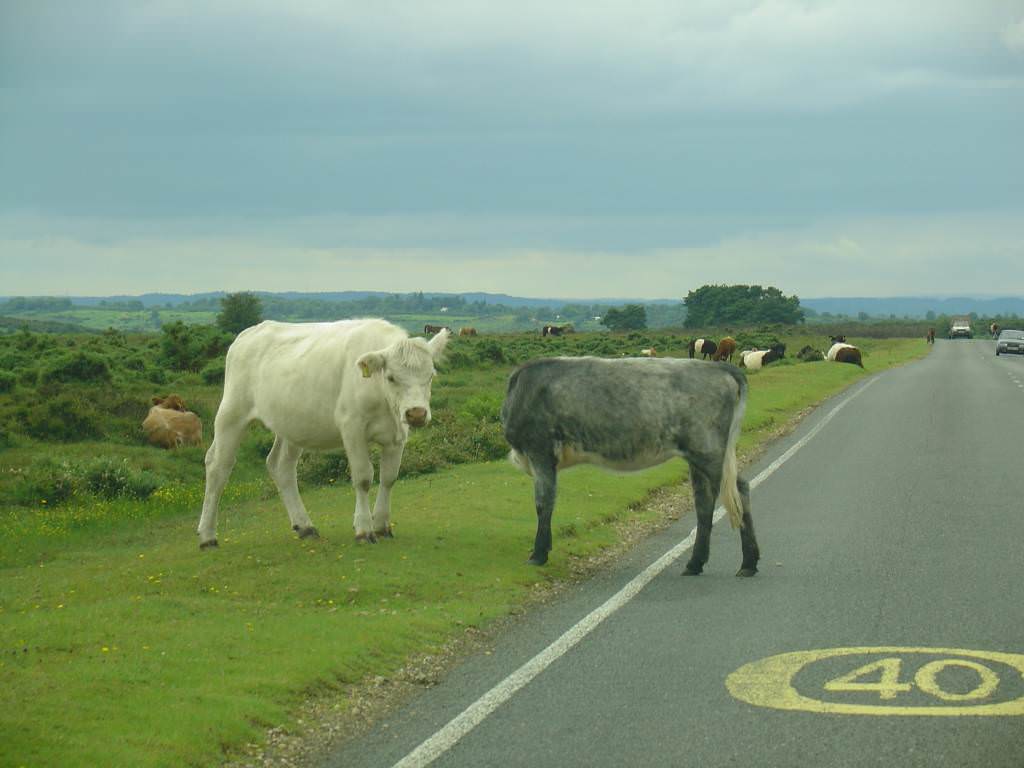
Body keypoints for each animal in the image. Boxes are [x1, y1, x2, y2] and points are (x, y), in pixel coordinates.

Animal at [195, 321, 448, 548]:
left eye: (431, 375)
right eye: (391, 377)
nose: (416, 413)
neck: (382, 398)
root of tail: (249, 332)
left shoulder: (397, 434)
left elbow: (389, 478)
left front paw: (382, 525)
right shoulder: (352, 427)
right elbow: (364, 477)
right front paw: (364, 529)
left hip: (291, 423)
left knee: (281, 466)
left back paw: (305, 526)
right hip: (232, 412)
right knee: (218, 465)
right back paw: (208, 536)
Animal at [499, 360, 757, 577]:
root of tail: (718, 366)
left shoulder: (539, 451)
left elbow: (543, 504)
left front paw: (538, 554)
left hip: (708, 451)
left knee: (737, 491)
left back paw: (746, 563)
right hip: (700, 458)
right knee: (707, 502)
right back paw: (704, 563)